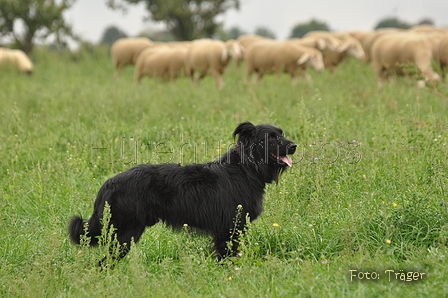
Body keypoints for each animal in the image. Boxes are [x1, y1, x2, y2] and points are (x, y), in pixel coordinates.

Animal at [68, 122, 296, 264]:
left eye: (282, 134)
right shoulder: (228, 229)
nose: (294, 146)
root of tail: (109, 183)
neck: (246, 168)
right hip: (125, 234)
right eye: (271, 138)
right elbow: (227, 258)